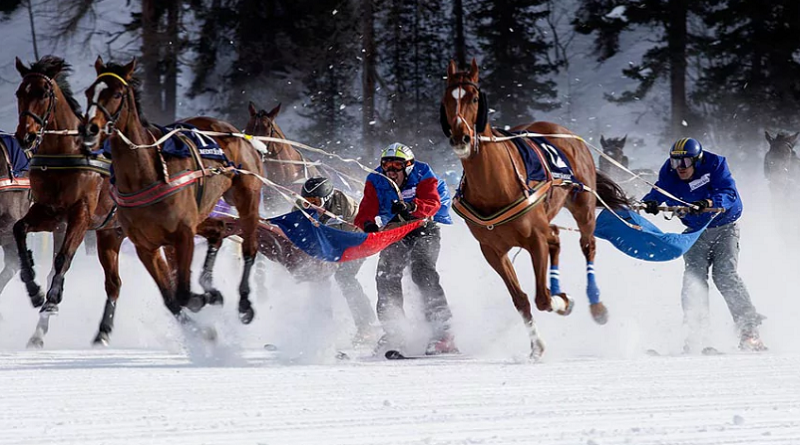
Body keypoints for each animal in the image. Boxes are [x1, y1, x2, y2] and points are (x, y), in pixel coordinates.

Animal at [13, 56, 125, 346]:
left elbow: (63, 258)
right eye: (20, 93)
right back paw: (101, 332)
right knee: (114, 283)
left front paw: (52, 299)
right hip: (111, 233)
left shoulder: (81, 214)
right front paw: (34, 288)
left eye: (43, 93)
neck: (65, 155)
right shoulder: (50, 213)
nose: (25, 136)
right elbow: (19, 229)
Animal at [77, 57, 260, 324]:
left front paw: (204, 298)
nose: (89, 129)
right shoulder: (146, 246)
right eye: (89, 92)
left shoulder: (182, 235)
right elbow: (171, 299)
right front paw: (205, 301)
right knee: (217, 230)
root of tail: (234, 132)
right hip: (202, 214)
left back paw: (244, 302)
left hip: (247, 197)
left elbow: (183, 294)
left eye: (117, 93)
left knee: (249, 247)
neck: (145, 177)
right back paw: (209, 284)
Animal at [438, 59, 632, 360]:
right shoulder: (492, 250)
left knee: (587, 246)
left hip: (583, 206)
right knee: (556, 237)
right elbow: (520, 299)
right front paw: (536, 345)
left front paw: (562, 300)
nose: (461, 138)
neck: (495, 184)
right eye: (447, 99)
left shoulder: (534, 239)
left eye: (473, 98)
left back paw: (596, 306)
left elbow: (542, 298)